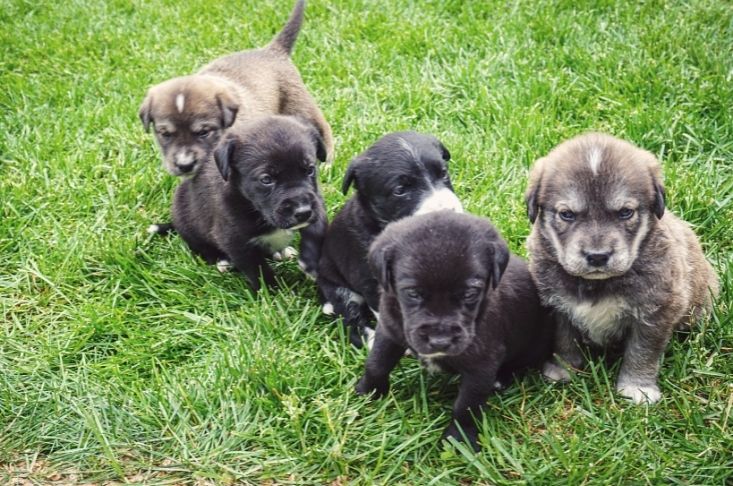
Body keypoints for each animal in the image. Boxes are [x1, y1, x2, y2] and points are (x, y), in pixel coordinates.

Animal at [139, 0, 334, 178]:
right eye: (165, 134)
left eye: (203, 132)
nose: (184, 165)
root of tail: (273, 50)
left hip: (301, 106)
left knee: (323, 129)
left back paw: (328, 164)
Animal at [167, 115, 328, 288]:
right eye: (266, 179)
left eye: (310, 170)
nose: (303, 212)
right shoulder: (235, 240)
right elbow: (257, 269)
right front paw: (272, 290)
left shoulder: (317, 202)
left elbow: (316, 229)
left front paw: (311, 262)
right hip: (187, 225)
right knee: (203, 248)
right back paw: (222, 261)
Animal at [316, 131, 464, 348]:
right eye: (400, 190)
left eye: (444, 173)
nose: (448, 214)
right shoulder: (370, 280)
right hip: (338, 289)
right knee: (351, 320)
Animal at [356, 213, 556, 452]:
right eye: (412, 293)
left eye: (470, 293)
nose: (440, 341)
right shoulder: (388, 331)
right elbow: (376, 363)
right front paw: (367, 393)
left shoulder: (481, 365)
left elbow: (466, 405)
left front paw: (459, 439)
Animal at [524, 132, 716, 402]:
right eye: (567, 214)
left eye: (625, 212)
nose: (597, 257)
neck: (596, 284)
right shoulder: (557, 307)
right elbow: (564, 340)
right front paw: (563, 369)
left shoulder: (655, 311)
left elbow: (642, 352)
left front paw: (638, 387)